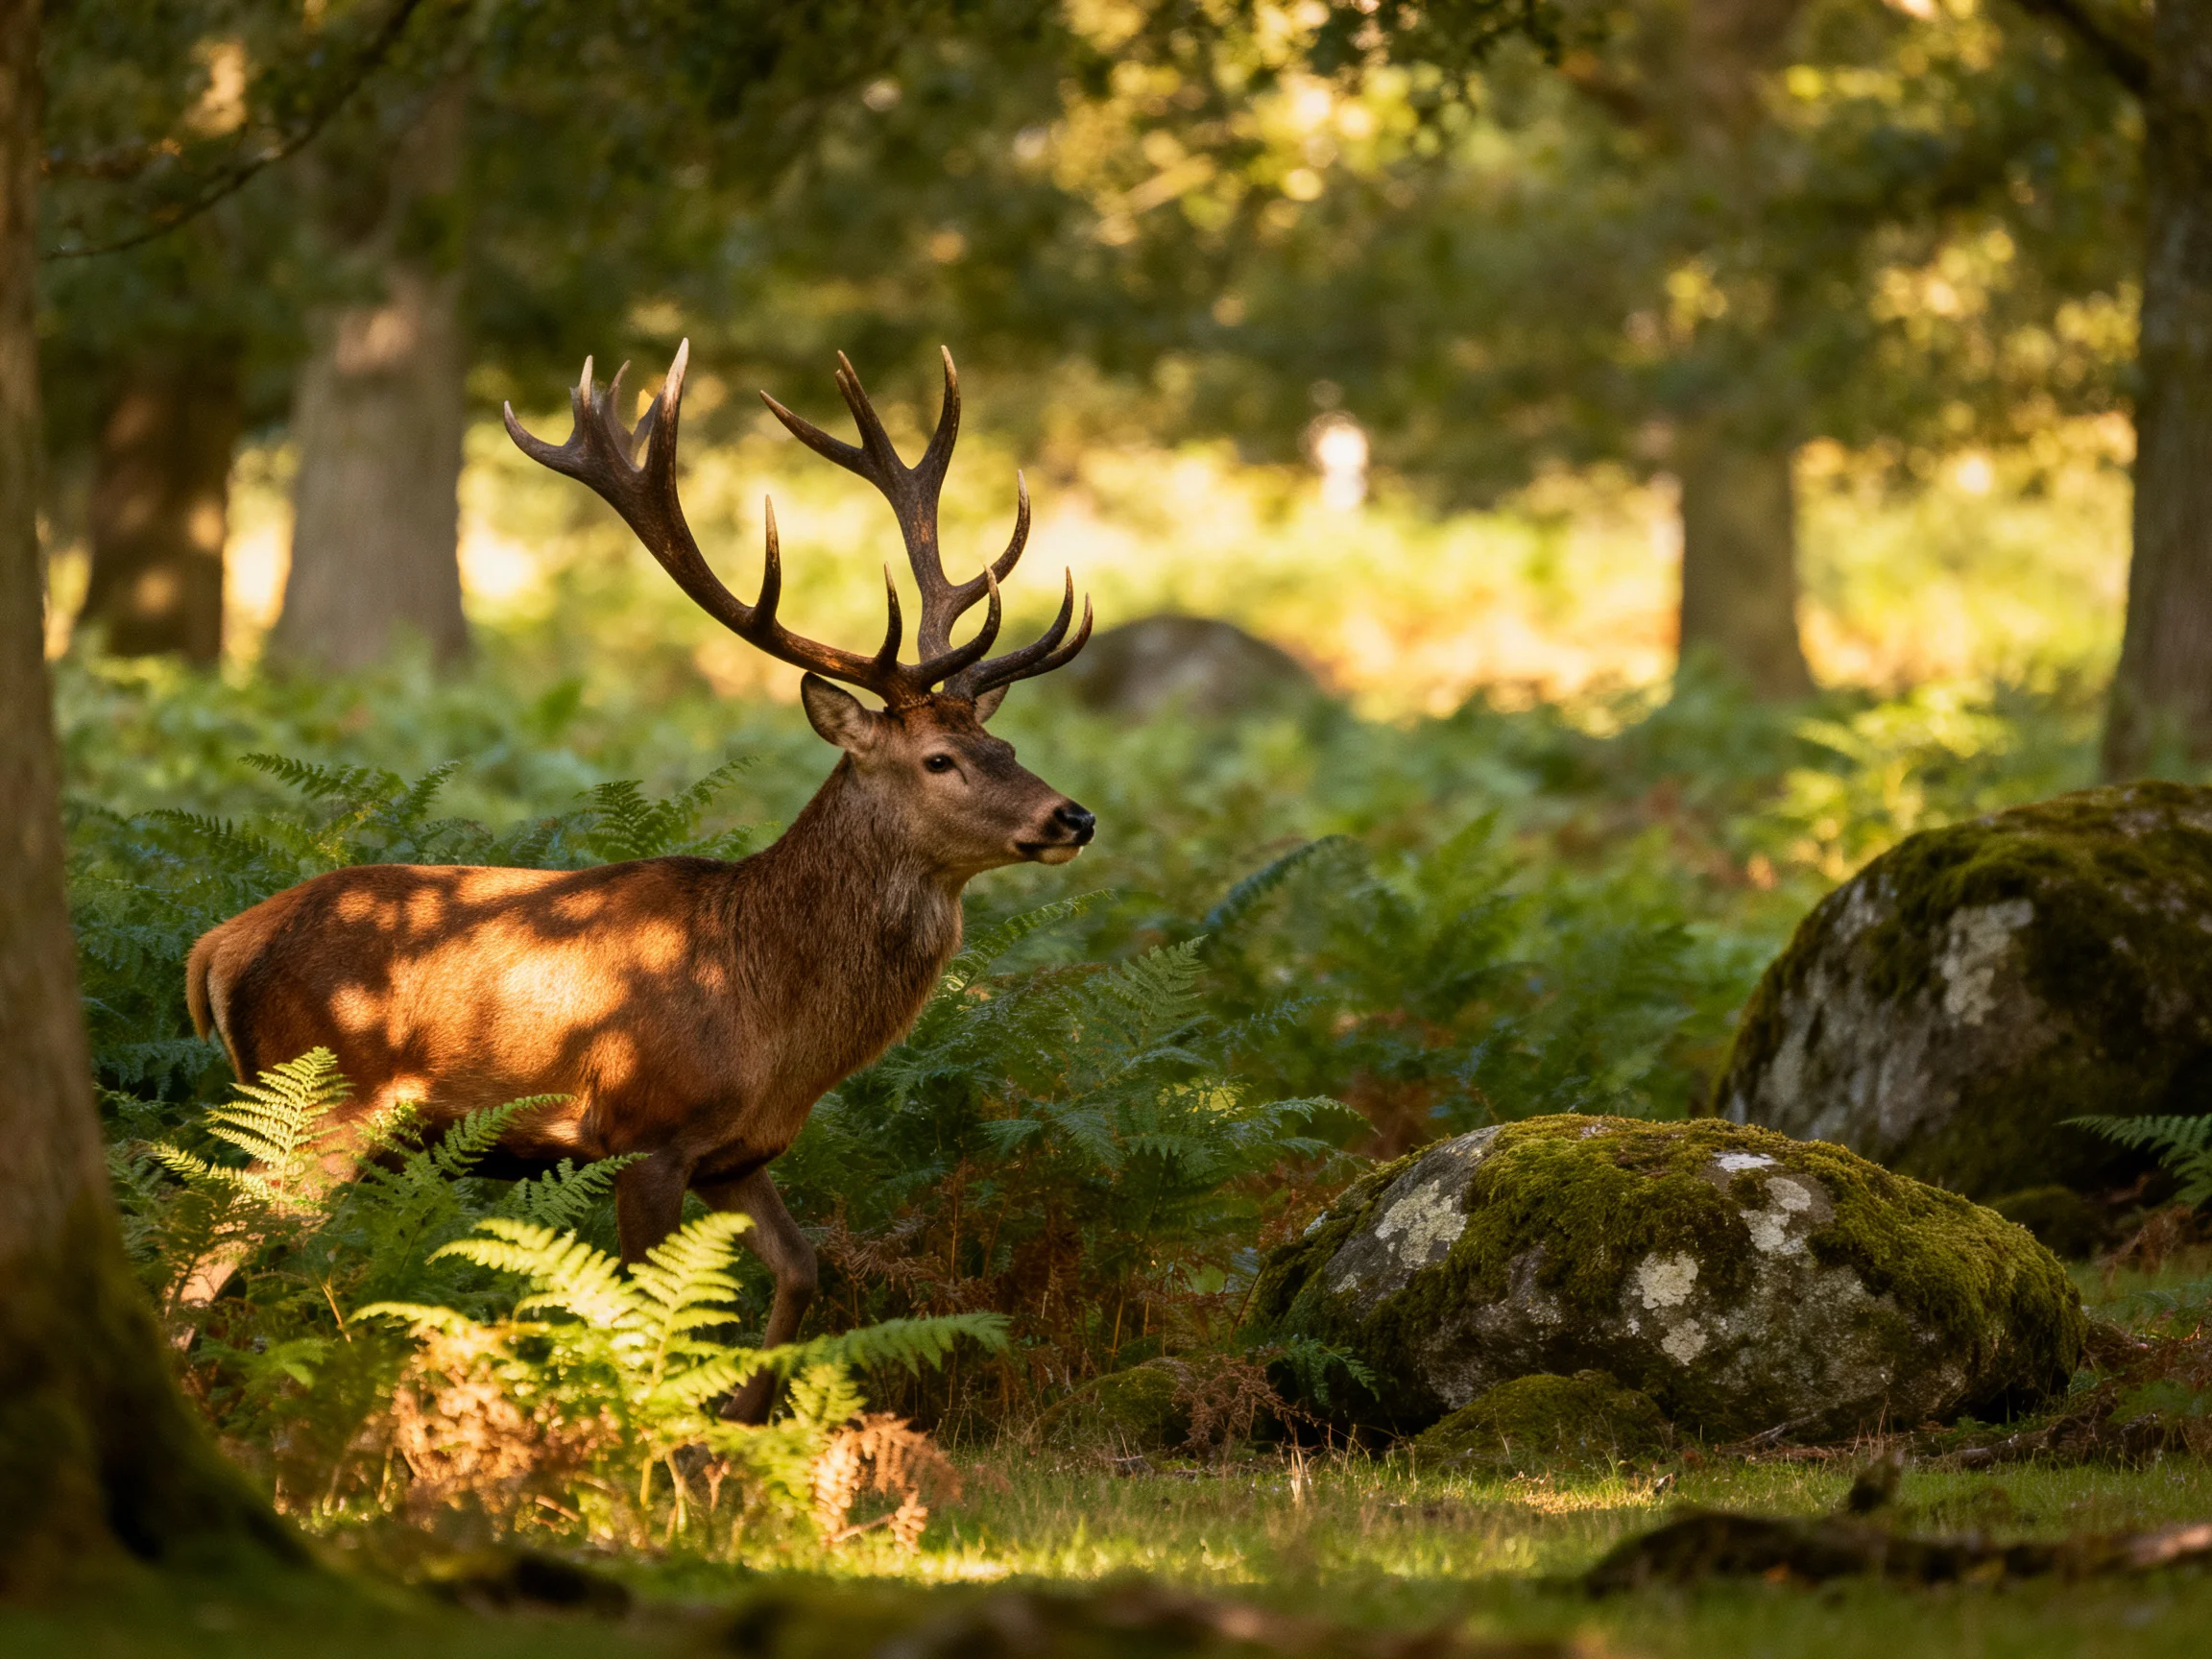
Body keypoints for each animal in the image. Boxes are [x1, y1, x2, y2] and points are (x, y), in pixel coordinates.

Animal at [184, 341, 1095, 1421]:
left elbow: (802, 1268)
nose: (1072, 816)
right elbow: (636, 1300)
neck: (776, 1022)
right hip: (317, 1104)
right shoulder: (639, 1130)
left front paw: (743, 1425)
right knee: (211, 1248)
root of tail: (218, 945)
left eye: (1004, 745)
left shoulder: (738, 1153)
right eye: (939, 761)